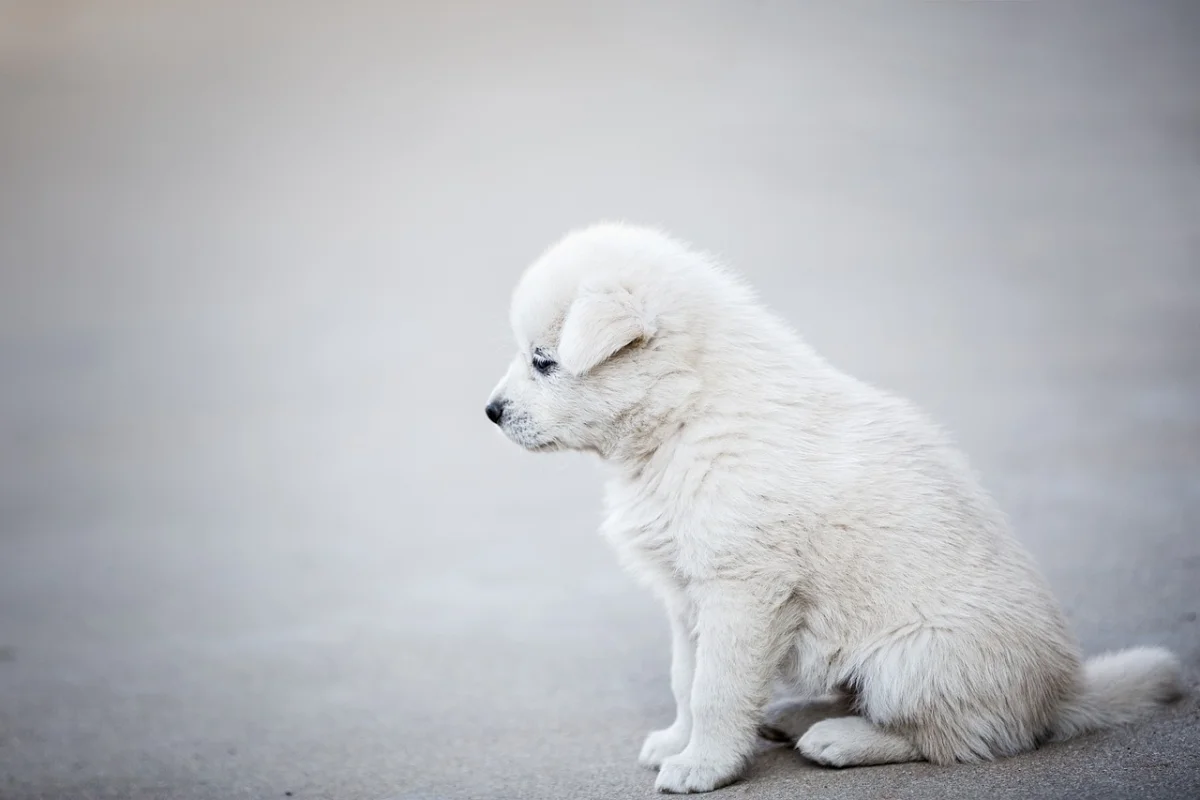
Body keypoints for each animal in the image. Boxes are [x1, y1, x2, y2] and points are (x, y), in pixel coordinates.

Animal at [484, 221, 1180, 791]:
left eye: (543, 361)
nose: (490, 412)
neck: (687, 416)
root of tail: (1061, 695)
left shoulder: (742, 590)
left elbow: (716, 688)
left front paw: (703, 766)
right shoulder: (687, 595)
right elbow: (686, 678)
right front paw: (677, 742)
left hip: (913, 660)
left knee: (957, 739)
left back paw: (839, 740)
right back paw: (794, 715)